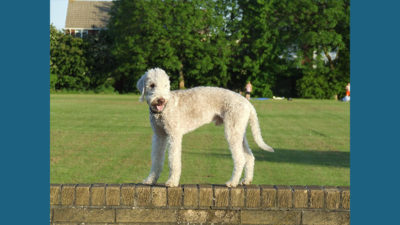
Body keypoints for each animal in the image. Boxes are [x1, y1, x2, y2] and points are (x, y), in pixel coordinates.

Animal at [136, 67, 274, 187]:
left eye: (166, 85)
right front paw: (150, 180)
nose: (161, 100)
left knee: (240, 159)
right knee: (249, 156)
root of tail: (248, 103)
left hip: (232, 131)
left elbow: (173, 160)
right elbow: (156, 159)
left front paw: (172, 182)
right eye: (152, 85)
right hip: (239, 130)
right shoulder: (159, 136)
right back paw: (246, 180)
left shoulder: (174, 135)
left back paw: (232, 182)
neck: (163, 110)